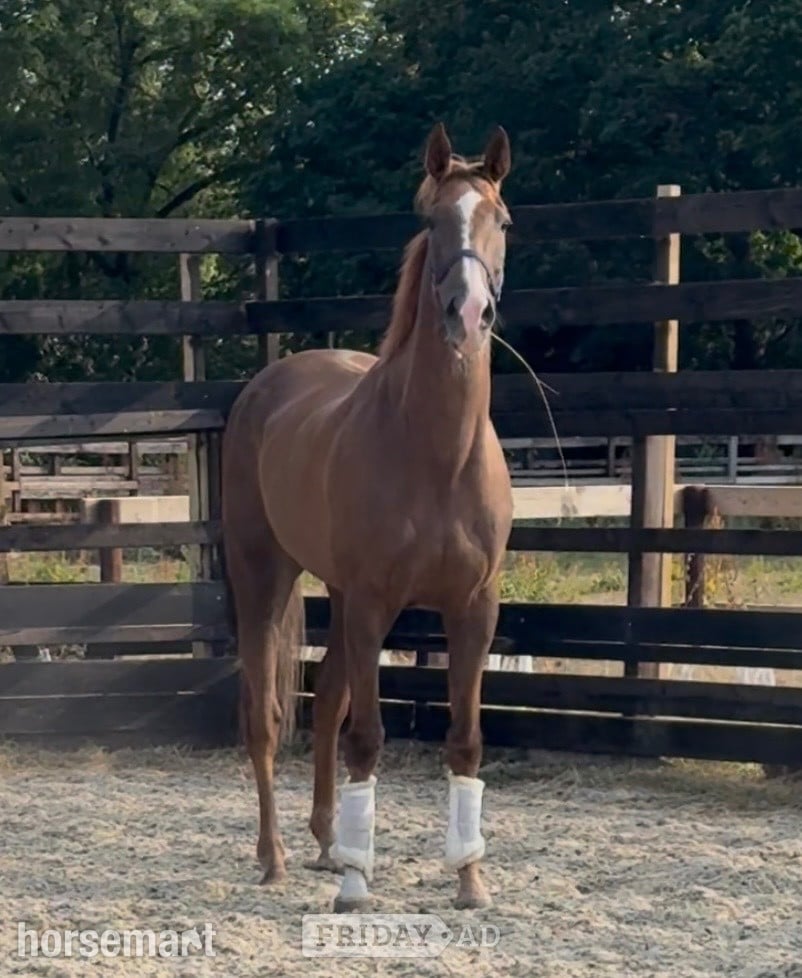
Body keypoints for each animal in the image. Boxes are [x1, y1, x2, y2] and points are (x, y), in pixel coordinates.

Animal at [221, 121, 514, 912]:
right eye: (431, 221)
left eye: (501, 221)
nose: (467, 313)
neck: (437, 453)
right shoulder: (375, 603)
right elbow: (367, 738)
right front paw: (357, 884)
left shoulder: (474, 609)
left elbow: (465, 740)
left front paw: (470, 880)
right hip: (265, 577)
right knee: (265, 716)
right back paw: (276, 857)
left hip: (340, 595)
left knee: (324, 701)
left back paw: (329, 841)